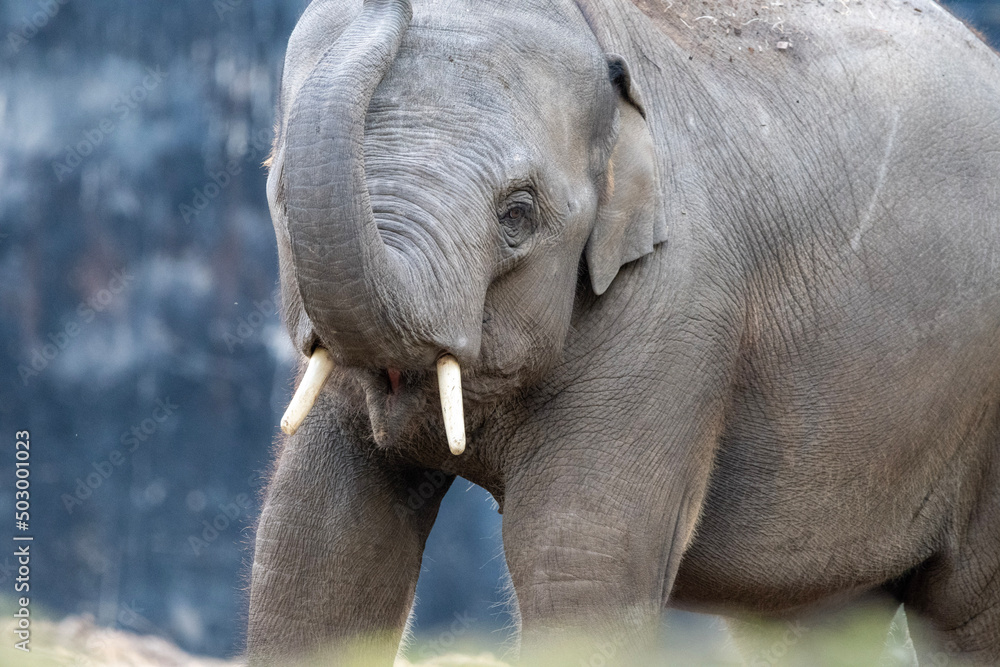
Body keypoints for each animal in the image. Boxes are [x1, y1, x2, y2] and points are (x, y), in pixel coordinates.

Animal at [248, 0, 1000, 664]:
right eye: (279, 192)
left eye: (517, 214)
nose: (396, 6)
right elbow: (313, 552)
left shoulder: (677, 307)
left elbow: (577, 556)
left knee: (969, 614)